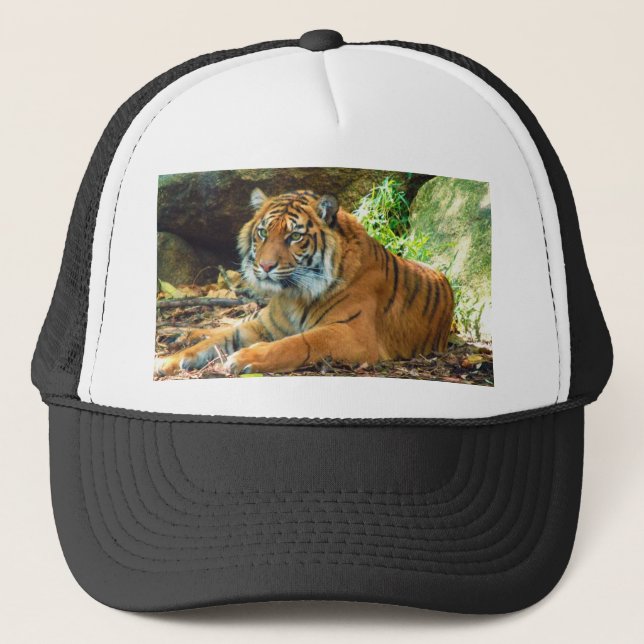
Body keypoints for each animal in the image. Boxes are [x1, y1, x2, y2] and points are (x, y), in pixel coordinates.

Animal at [155, 188, 454, 376]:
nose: (265, 266)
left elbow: (297, 343)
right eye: (263, 233)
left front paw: (246, 358)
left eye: (294, 237)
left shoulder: (353, 334)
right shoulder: (263, 325)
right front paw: (167, 361)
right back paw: (180, 335)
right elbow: (217, 339)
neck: (294, 295)